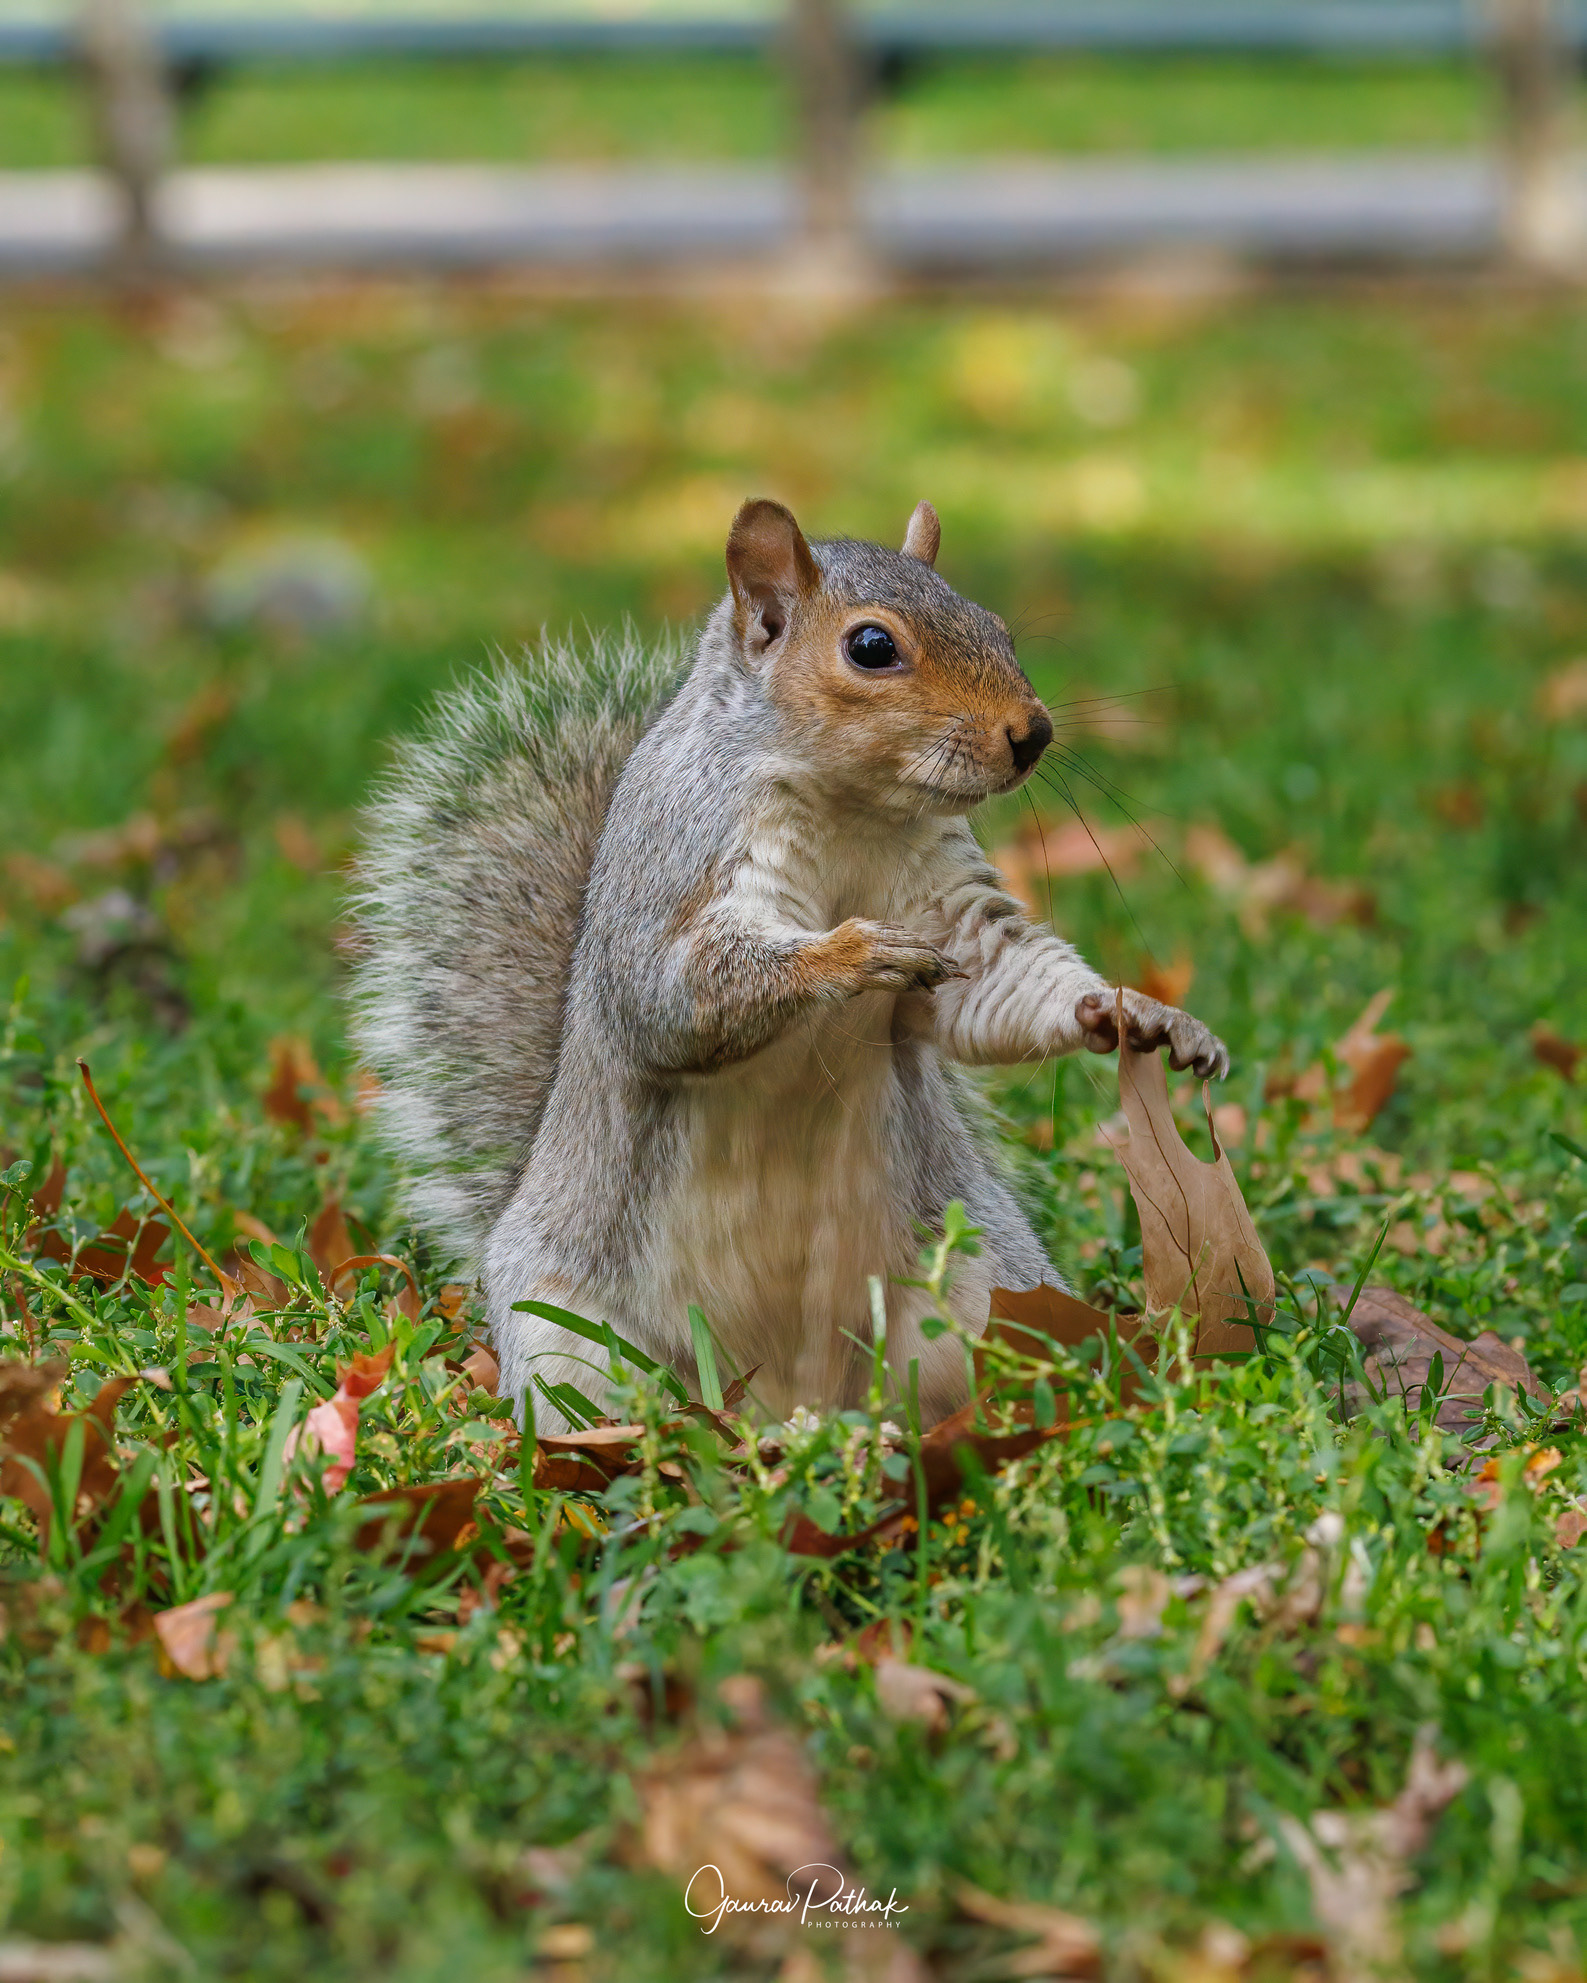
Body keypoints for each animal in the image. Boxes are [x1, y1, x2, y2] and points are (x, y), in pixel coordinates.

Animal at [353, 499, 1228, 1429]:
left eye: (997, 627)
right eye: (871, 647)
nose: (1033, 734)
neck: (854, 807)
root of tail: (780, 1398)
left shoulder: (956, 910)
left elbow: (998, 981)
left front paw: (1140, 1015)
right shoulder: (676, 872)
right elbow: (670, 997)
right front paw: (857, 949)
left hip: (983, 1284)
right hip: (567, 1333)